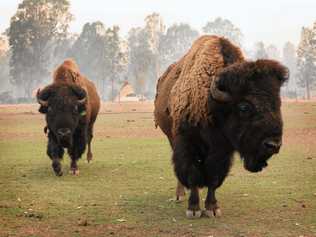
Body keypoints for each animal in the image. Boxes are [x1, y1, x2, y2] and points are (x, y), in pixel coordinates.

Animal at [154, 35, 288, 218]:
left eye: (278, 104)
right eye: (244, 107)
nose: (273, 144)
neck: (211, 104)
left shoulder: (222, 152)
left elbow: (214, 177)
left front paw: (212, 208)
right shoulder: (187, 144)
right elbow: (192, 173)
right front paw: (193, 209)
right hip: (170, 138)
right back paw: (179, 195)